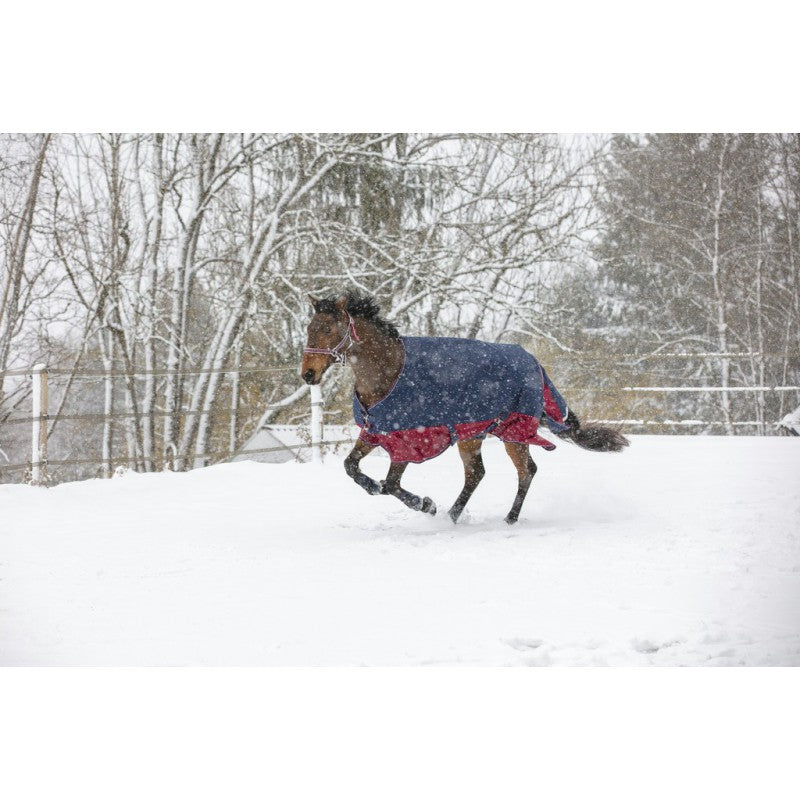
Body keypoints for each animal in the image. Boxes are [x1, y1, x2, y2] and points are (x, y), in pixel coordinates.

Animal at [301, 292, 629, 524]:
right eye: (309, 329)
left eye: (328, 329)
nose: (308, 374)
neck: (389, 371)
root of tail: (534, 362)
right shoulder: (375, 431)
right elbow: (352, 467)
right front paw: (374, 487)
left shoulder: (409, 439)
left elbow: (392, 484)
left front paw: (427, 504)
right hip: (473, 434)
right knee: (476, 474)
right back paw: (454, 516)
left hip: (513, 432)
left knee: (526, 471)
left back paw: (507, 519)